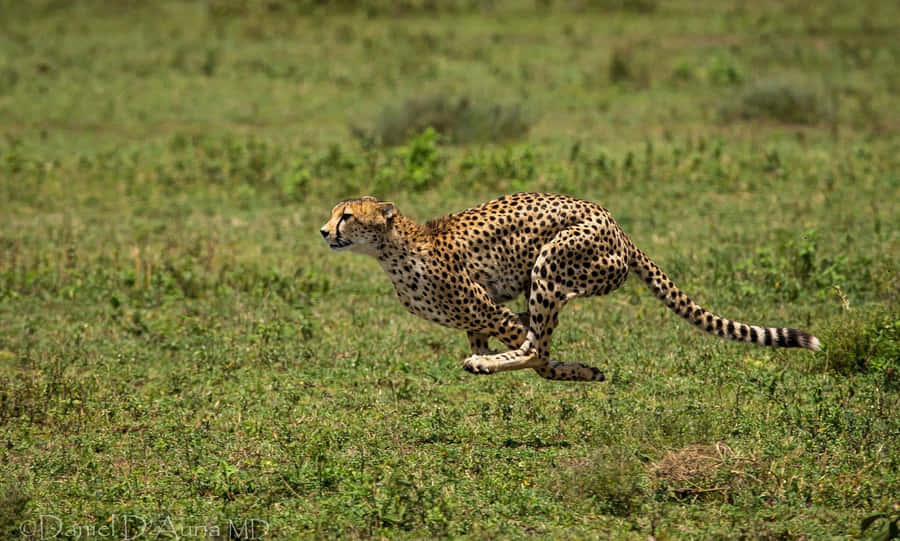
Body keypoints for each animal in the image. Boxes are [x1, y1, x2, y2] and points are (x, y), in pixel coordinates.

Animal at [320, 192, 821, 382]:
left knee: (537, 346)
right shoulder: (477, 318)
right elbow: (519, 342)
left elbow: (534, 350)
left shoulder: (492, 310)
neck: (390, 250)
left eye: (347, 216)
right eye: (334, 213)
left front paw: (564, 368)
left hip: (551, 264)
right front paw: (582, 369)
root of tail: (616, 224)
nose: (324, 232)